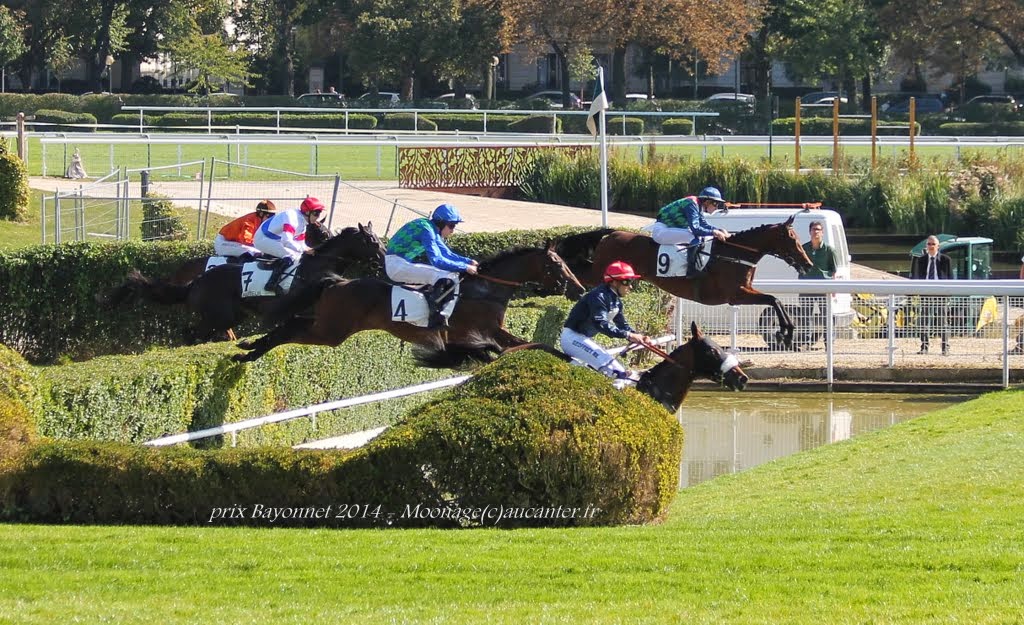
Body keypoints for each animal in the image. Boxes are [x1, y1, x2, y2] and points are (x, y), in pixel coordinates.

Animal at [231, 239, 585, 364]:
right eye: (557, 265)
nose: (579, 289)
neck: (486, 291)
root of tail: (339, 282)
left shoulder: (489, 332)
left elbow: (527, 344)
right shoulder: (480, 331)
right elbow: (523, 345)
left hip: (327, 322)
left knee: (291, 322)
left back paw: (249, 348)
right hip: (331, 333)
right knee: (291, 330)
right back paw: (249, 353)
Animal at [577, 215, 815, 346]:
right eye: (792, 238)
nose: (808, 263)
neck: (736, 253)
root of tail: (611, 234)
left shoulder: (743, 292)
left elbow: (775, 300)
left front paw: (787, 332)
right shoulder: (735, 294)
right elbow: (773, 299)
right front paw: (785, 332)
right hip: (599, 272)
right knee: (582, 275)